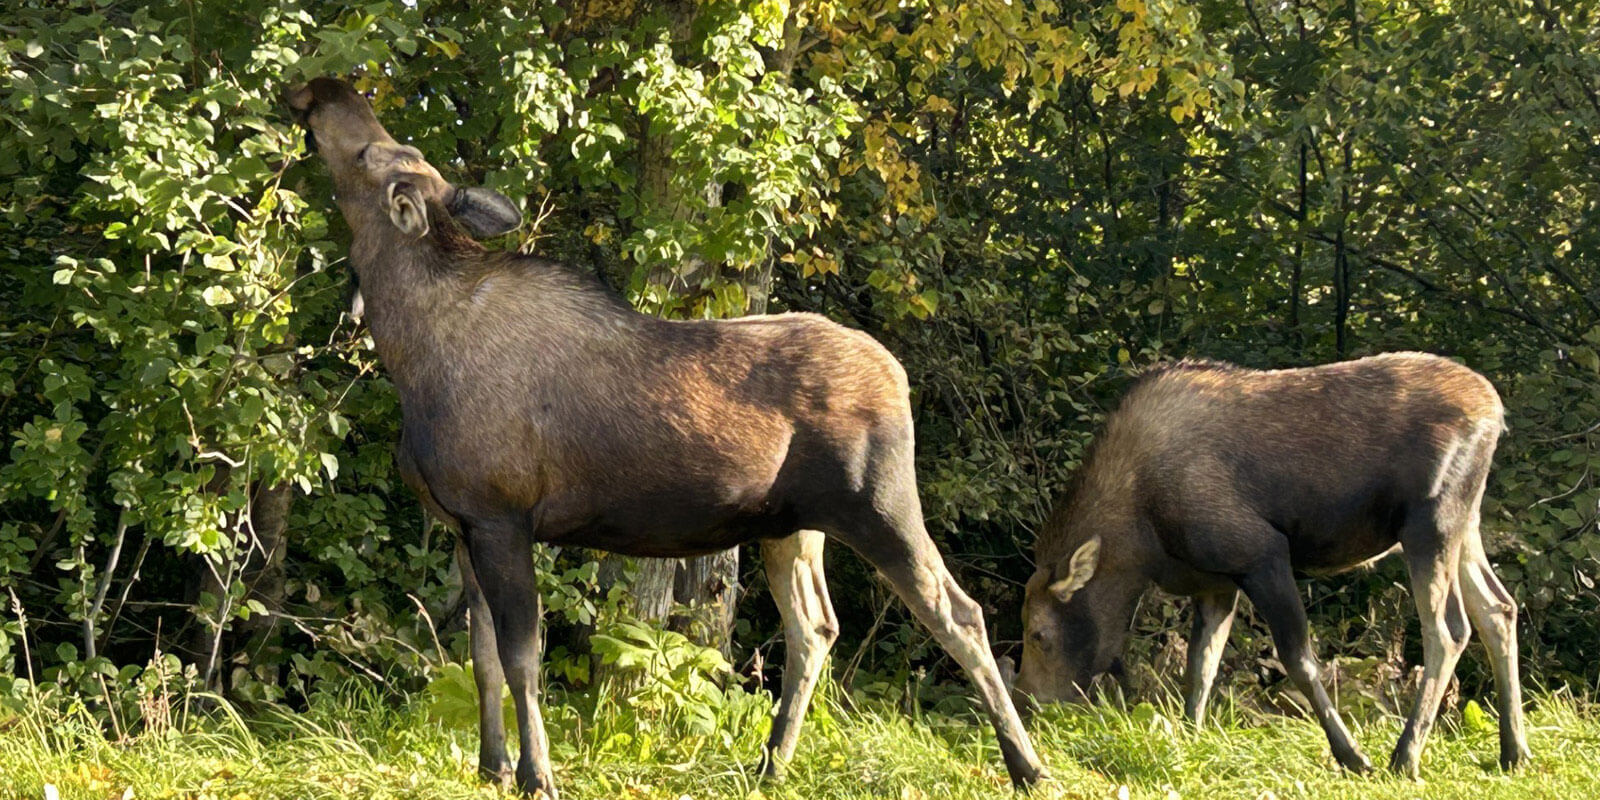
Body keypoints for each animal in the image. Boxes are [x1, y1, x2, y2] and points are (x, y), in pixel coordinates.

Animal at [289, 76, 1049, 800]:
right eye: (390, 150)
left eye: (371, 155)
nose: (326, 90)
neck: (407, 348)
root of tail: (900, 375)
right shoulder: (461, 526)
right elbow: (479, 659)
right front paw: (491, 768)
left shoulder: (502, 517)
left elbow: (522, 658)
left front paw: (537, 775)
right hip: (792, 526)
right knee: (814, 629)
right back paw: (770, 767)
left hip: (878, 503)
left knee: (958, 613)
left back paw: (1027, 767)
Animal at [1011, 353, 1523, 777]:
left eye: (1038, 635)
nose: (1026, 703)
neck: (1141, 543)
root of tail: (1496, 411)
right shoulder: (1215, 583)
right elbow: (1200, 668)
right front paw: (1190, 738)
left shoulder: (1262, 553)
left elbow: (1298, 660)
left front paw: (1352, 756)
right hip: (1466, 523)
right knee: (1499, 609)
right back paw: (1513, 751)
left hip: (1429, 522)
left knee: (1448, 629)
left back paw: (1406, 756)